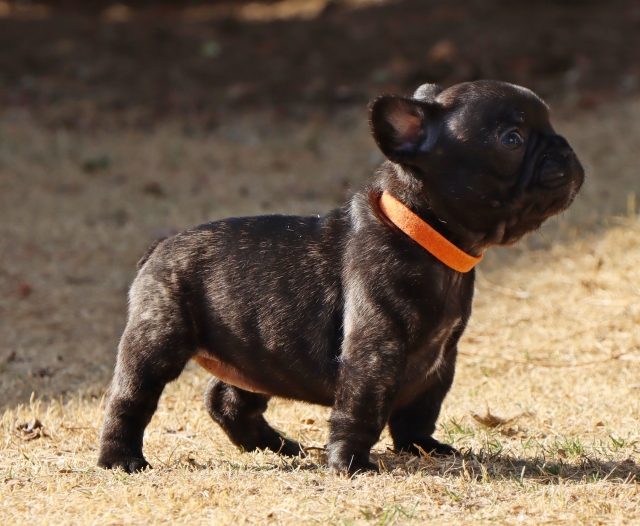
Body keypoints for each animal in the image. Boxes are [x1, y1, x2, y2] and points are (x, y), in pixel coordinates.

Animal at [97, 80, 584, 475]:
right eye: (512, 139)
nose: (565, 148)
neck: (424, 234)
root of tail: (159, 248)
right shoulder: (374, 350)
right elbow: (362, 407)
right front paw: (349, 463)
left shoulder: (442, 358)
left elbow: (421, 409)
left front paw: (422, 447)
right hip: (157, 338)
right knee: (129, 399)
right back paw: (121, 459)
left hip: (257, 352)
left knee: (228, 401)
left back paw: (277, 446)